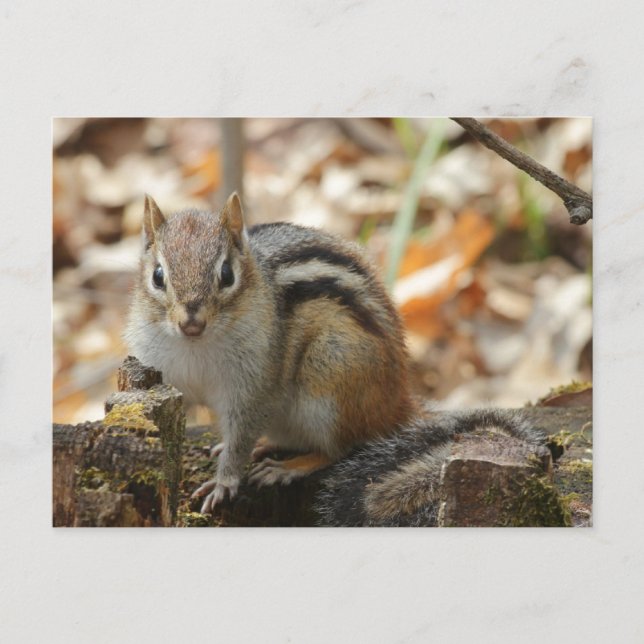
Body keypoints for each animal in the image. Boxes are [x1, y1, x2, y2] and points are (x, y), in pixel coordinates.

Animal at [125, 193, 415, 513]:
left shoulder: (255, 385)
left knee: (341, 448)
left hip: (332, 376)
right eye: (157, 276)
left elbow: (241, 436)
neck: (195, 346)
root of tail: (396, 406)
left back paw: (288, 467)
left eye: (227, 275)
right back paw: (266, 445)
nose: (192, 324)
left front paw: (223, 482)